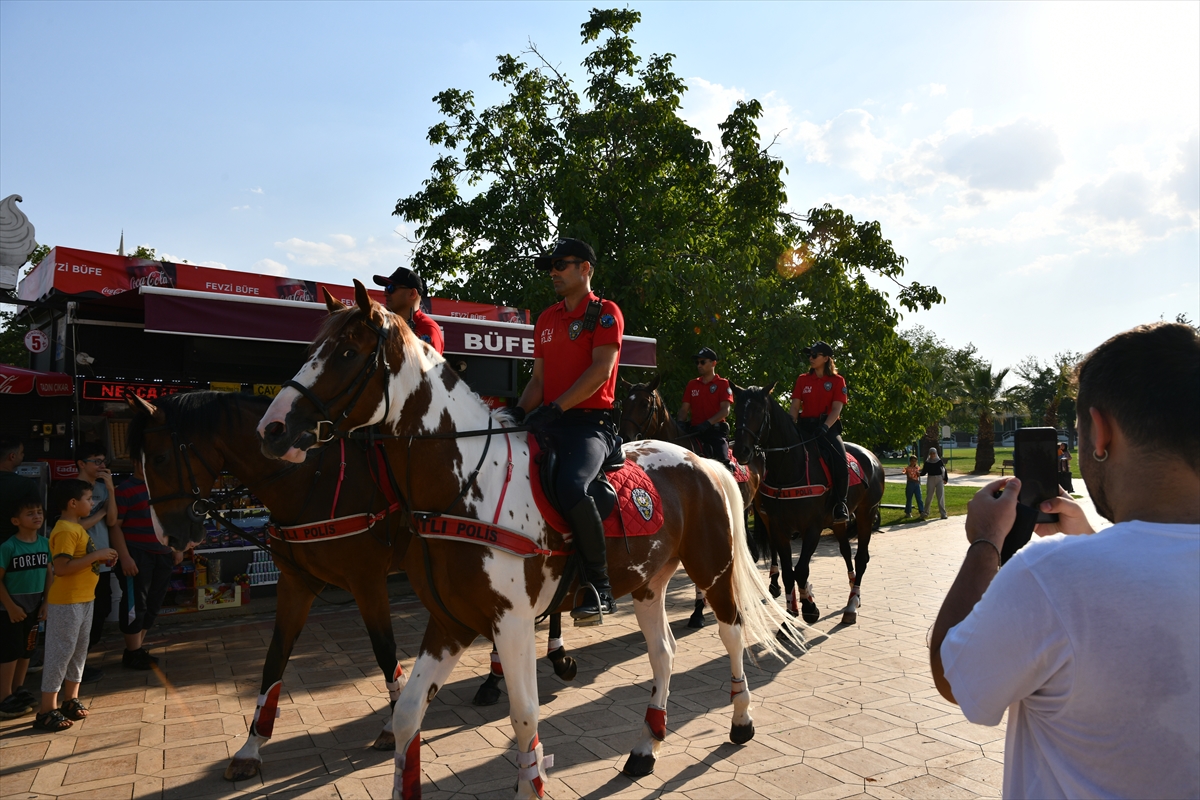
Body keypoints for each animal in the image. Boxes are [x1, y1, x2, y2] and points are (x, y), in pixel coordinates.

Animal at [130, 393, 576, 782]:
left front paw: (390, 726)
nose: (169, 537)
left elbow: (384, 651)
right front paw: (250, 748)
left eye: (161, 458)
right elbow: (274, 660)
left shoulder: (367, 580)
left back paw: (555, 654)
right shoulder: (295, 584)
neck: (314, 480)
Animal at [724, 386, 888, 623]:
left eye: (759, 411)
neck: (790, 469)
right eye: (736, 410)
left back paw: (852, 603)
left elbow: (801, 570)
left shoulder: (812, 528)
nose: (741, 451)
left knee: (861, 558)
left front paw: (809, 607)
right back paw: (851, 589)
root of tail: (871, 457)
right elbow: (788, 572)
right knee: (845, 551)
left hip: (867, 513)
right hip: (838, 521)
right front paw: (791, 613)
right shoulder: (778, 528)